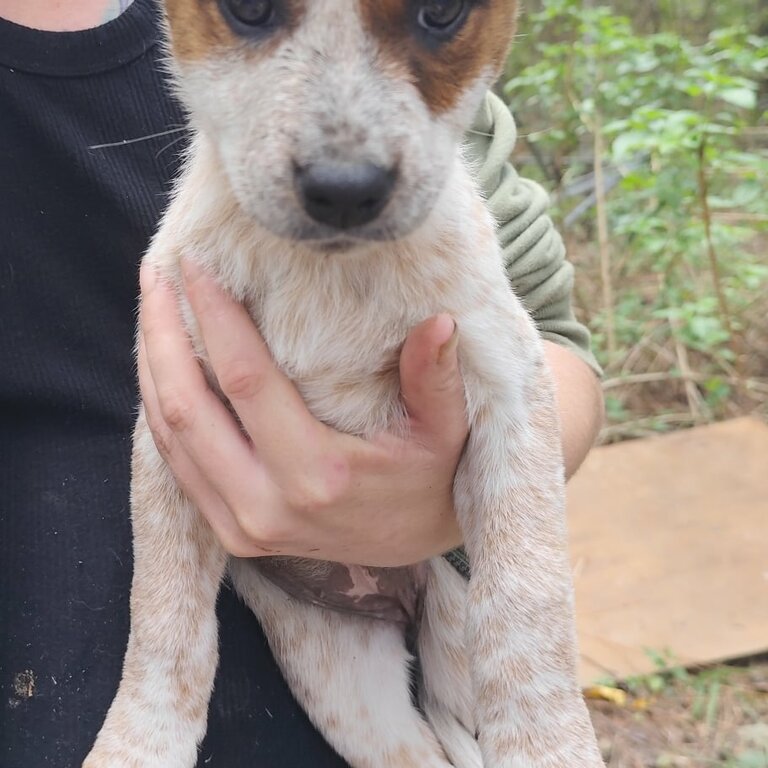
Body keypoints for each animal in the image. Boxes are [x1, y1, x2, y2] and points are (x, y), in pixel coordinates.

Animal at [84, 1, 604, 768]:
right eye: (248, 10)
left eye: (441, 13)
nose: (344, 189)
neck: (327, 272)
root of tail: (398, 597)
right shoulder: (168, 424)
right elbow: (162, 621)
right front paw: (135, 746)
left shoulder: (510, 384)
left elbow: (529, 601)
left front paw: (549, 747)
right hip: (349, 688)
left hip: (449, 642)